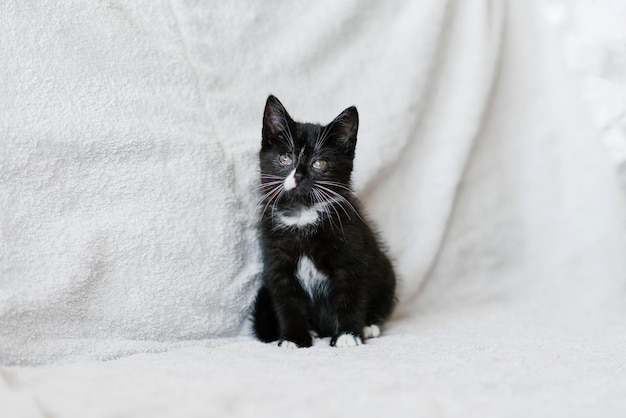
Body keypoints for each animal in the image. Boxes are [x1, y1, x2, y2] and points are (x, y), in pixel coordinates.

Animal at [250, 96, 392, 348]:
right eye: (285, 158)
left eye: (319, 163)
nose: (298, 176)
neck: (303, 215)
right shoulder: (276, 262)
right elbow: (287, 302)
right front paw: (294, 339)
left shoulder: (351, 252)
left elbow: (350, 295)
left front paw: (347, 335)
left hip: (386, 271)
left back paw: (368, 326)